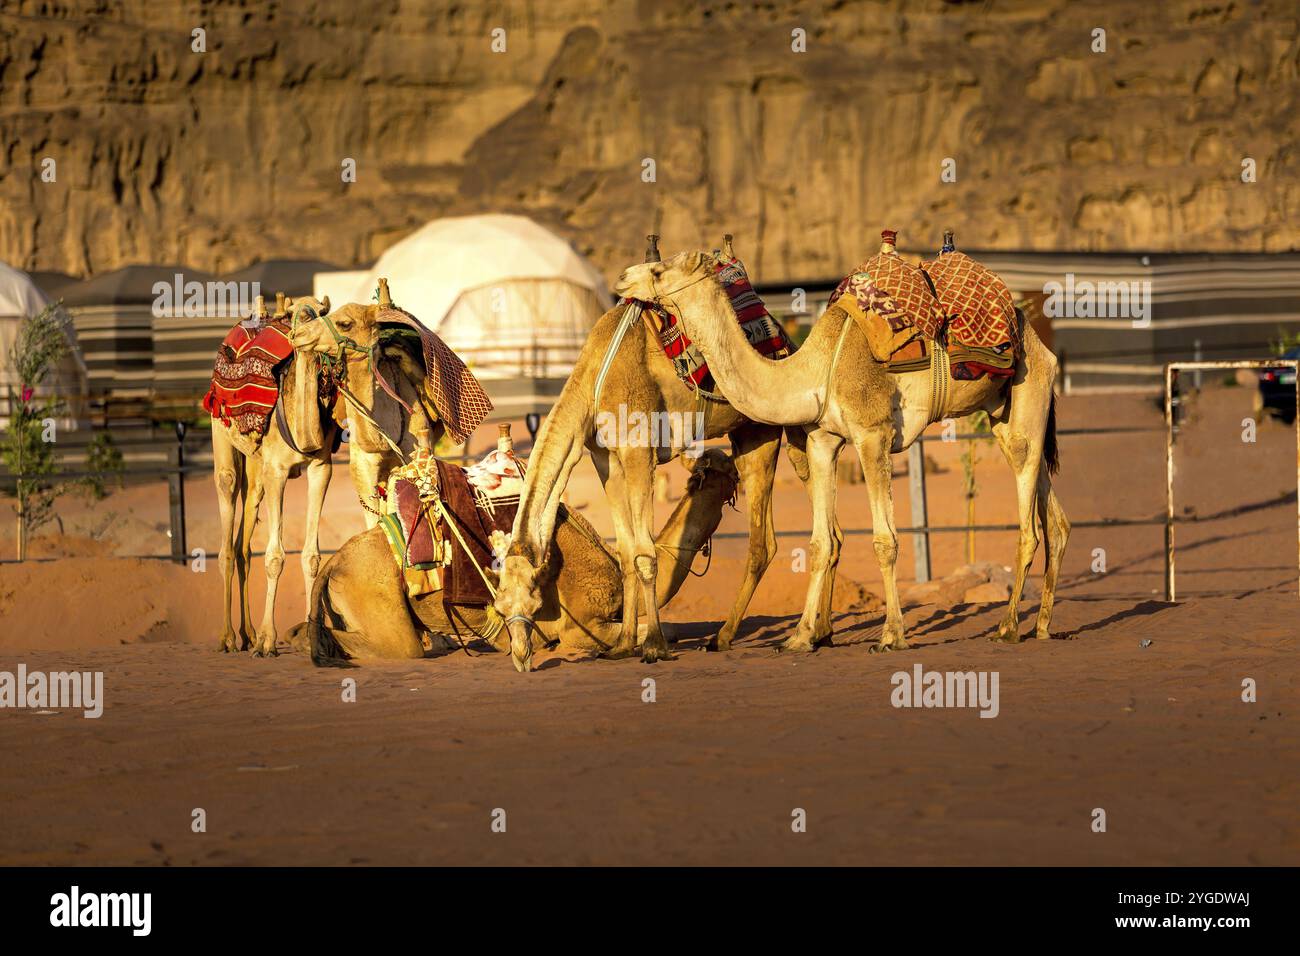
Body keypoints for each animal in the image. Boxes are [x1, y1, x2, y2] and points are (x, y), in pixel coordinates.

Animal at [297, 447, 738, 665]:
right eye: (725, 469)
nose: (741, 472)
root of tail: (336, 560)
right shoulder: (583, 623)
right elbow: (663, 630)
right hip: (377, 597)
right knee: (396, 646)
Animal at [613, 244, 1071, 658]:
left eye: (658, 270)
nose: (622, 279)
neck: (816, 371)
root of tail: (1036, 337)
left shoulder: (872, 433)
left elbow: (885, 541)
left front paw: (891, 636)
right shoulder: (821, 439)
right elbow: (820, 543)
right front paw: (798, 638)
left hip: (1027, 391)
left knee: (1028, 523)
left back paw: (1008, 628)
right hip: (1003, 412)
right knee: (1054, 517)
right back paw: (1043, 626)